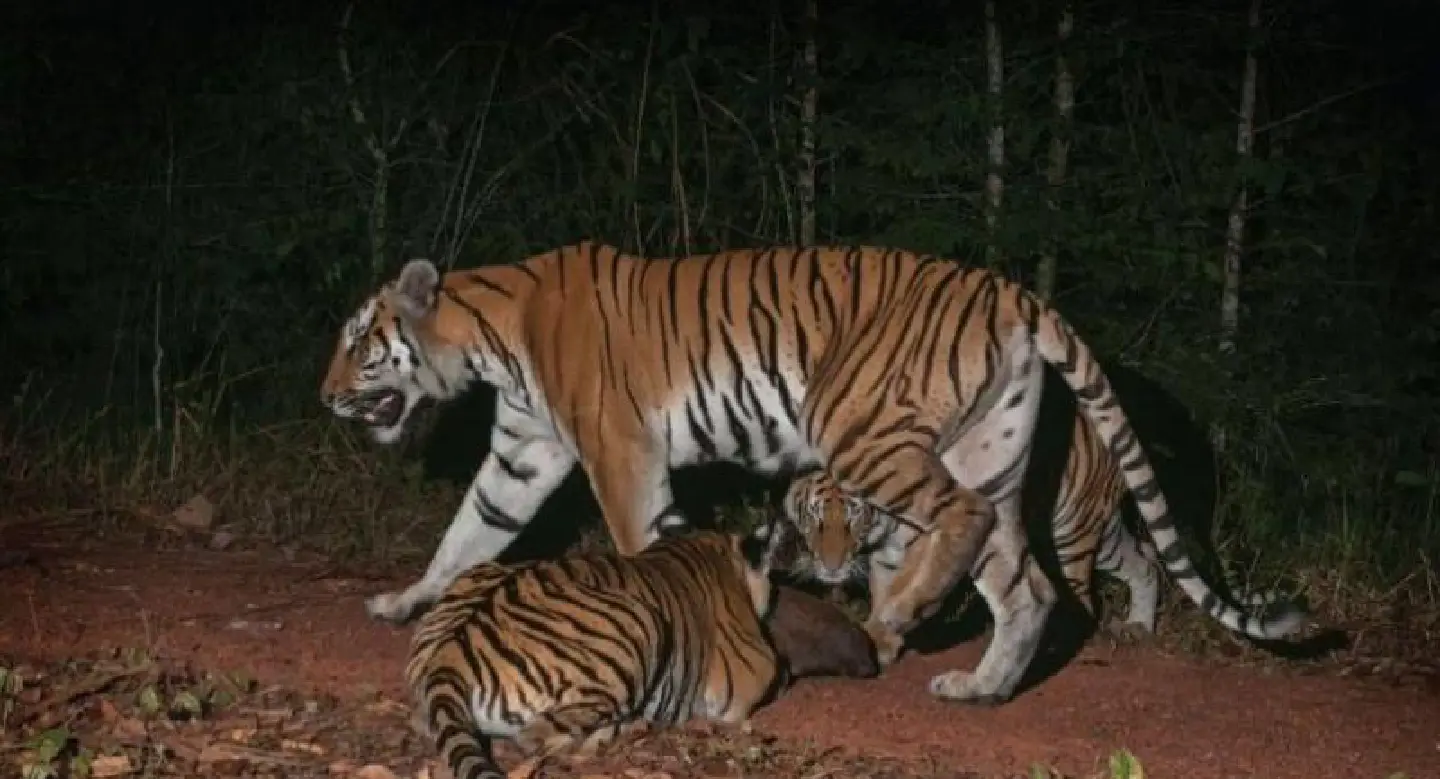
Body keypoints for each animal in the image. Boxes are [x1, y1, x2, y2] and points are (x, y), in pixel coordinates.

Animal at [321, 241, 1308, 705]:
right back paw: (980, 685)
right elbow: (467, 532)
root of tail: (1014, 290)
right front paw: (403, 601)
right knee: (1023, 582)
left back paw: (899, 611)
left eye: (361, 342)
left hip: (865, 425)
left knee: (960, 522)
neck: (488, 338)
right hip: (989, 450)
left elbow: (640, 541)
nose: (326, 395)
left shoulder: (617, 450)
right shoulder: (525, 452)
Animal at [404, 528, 784, 779]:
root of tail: (451, 651)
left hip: (478, 573)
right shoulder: (756, 668)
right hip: (641, 623)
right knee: (538, 737)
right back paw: (629, 729)